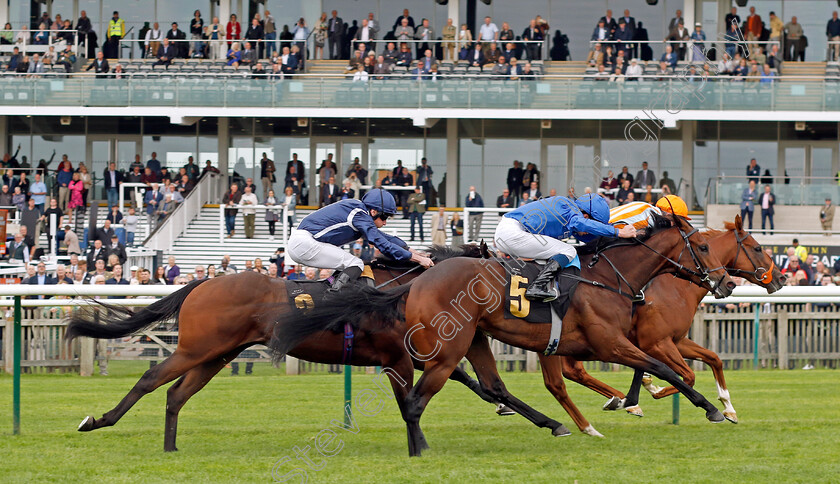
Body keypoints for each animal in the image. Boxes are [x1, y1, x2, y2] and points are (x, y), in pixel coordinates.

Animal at [270, 214, 736, 456]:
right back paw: (421, 448)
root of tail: (417, 281)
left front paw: (633, 401)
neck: (607, 278)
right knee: (418, 399)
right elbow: (666, 369)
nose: (727, 283)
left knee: (485, 386)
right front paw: (713, 409)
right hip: (447, 348)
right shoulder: (609, 342)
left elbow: (657, 369)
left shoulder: (611, 342)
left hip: (472, 339)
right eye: (704, 247)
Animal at [560, 217, 784, 422]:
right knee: (573, 371)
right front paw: (654, 389)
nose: (781, 278)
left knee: (572, 372)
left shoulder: (675, 340)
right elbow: (688, 376)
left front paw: (729, 407)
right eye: (757, 248)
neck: (677, 286)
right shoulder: (657, 343)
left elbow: (714, 358)